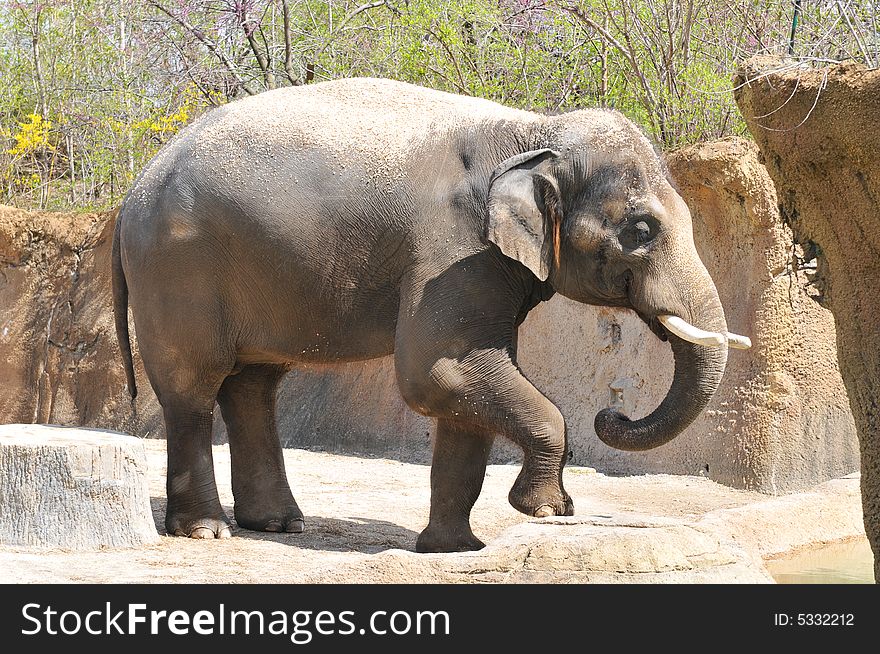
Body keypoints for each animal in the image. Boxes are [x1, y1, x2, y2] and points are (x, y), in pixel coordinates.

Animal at [111, 77, 748, 552]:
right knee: (193, 388)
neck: (535, 131)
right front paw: (544, 510)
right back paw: (206, 531)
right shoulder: (453, 254)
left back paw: (278, 525)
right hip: (177, 269)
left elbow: (464, 389)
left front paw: (455, 548)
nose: (611, 414)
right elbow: (439, 374)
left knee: (253, 385)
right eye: (641, 230)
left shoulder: (484, 266)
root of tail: (131, 193)